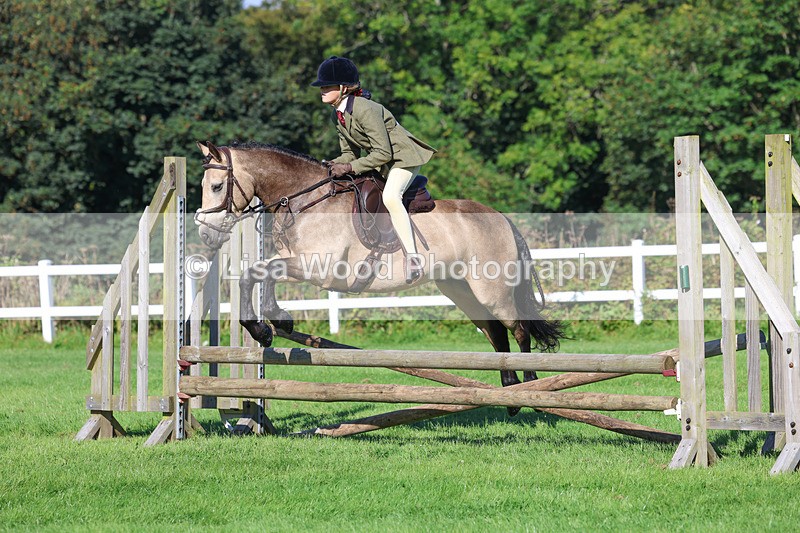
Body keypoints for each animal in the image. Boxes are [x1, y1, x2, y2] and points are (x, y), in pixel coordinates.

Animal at [194, 140, 565, 404]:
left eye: (216, 187)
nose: (205, 235)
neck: (307, 200)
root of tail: (502, 218)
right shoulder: (296, 261)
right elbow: (255, 273)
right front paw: (269, 326)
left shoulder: (320, 268)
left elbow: (261, 272)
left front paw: (271, 324)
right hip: (462, 291)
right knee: (496, 331)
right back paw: (509, 392)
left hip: (492, 290)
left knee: (518, 329)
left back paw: (531, 386)